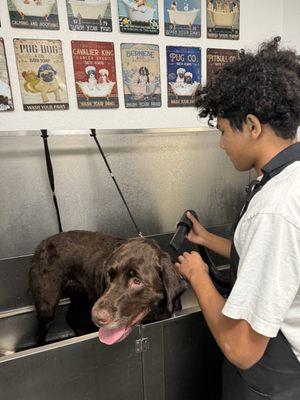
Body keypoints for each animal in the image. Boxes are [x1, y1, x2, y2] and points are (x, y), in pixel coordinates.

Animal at [29, 233, 186, 346]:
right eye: (109, 275)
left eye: (137, 281)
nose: (97, 317)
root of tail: (42, 244)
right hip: (47, 307)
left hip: (80, 296)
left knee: (70, 317)